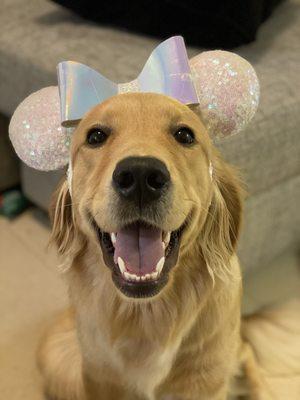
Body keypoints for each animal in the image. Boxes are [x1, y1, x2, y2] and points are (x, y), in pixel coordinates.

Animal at [37, 92, 300, 398]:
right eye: (96, 136)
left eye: (184, 135)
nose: (140, 176)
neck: (147, 314)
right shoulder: (100, 378)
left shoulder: (204, 381)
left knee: (246, 354)